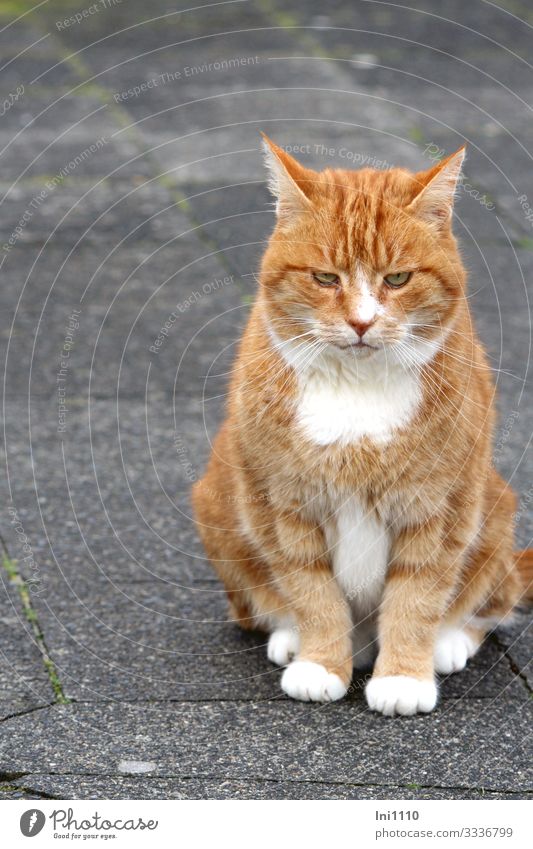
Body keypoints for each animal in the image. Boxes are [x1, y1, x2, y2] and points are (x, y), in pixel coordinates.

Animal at [192, 136, 532, 712]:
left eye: (397, 278)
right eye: (325, 278)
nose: (361, 322)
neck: (357, 388)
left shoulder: (438, 507)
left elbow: (417, 597)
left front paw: (404, 678)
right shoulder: (285, 505)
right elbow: (314, 594)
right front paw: (321, 663)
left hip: (494, 512)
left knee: (492, 599)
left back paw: (447, 643)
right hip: (218, 503)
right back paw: (294, 640)